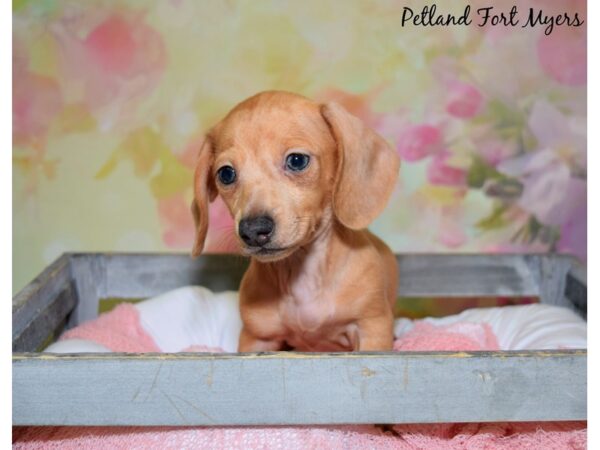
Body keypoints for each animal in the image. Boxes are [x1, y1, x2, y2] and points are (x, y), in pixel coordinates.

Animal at [192, 90, 398, 352]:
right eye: (226, 174)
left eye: (297, 160)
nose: (253, 230)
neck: (304, 276)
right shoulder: (256, 338)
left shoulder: (372, 328)